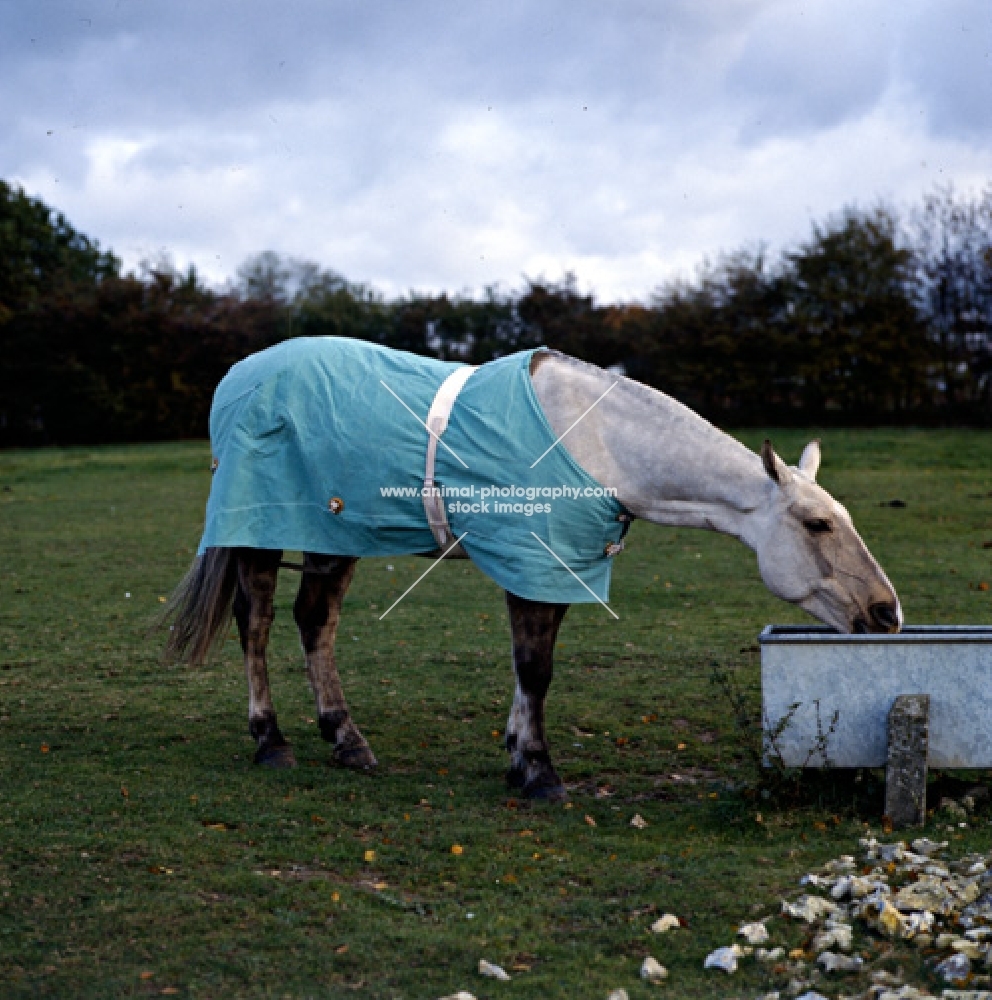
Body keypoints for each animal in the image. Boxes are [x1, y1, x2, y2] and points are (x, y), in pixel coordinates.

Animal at [167, 340, 904, 800]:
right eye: (818, 525)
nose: (887, 612)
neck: (597, 442)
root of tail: (240, 377)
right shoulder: (532, 560)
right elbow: (535, 666)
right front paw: (539, 772)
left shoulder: (559, 567)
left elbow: (537, 667)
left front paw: (519, 756)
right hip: (262, 530)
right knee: (257, 624)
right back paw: (271, 740)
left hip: (333, 532)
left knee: (313, 622)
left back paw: (346, 740)